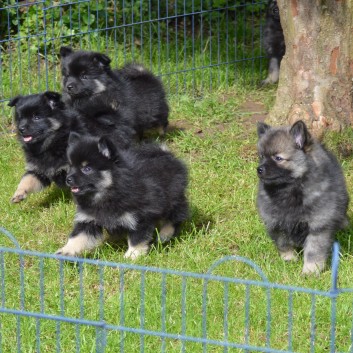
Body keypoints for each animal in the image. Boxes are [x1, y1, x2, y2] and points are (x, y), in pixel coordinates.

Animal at [57, 132, 190, 258]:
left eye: (87, 169)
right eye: (70, 167)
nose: (68, 179)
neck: (108, 193)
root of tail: (166, 154)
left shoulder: (140, 217)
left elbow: (137, 239)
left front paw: (132, 256)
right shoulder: (88, 219)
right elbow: (78, 237)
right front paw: (66, 251)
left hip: (173, 199)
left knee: (175, 217)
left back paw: (164, 235)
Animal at [254, 119, 348, 274]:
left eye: (278, 158)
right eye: (261, 156)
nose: (259, 169)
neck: (290, 189)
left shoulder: (317, 226)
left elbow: (313, 251)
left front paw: (311, 270)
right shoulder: (276, 223)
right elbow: (283, 244)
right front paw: (289, 259)